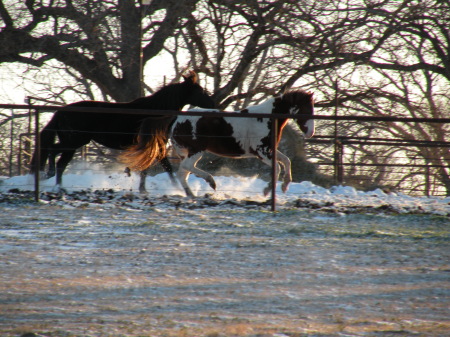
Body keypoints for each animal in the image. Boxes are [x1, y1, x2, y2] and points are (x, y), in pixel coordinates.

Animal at [29, 71, 216, 192]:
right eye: (200, 90)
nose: (213, 104)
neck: (154, 112)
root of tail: (60, 112)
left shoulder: (154, 147)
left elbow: (156, 167)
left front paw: (145, 189)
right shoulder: (156, 145)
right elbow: (163, 167)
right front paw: (174, 189)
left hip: (72, 143)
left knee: (58, 160)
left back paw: (56, 184)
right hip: (74, 142)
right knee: (55, 155)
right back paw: (53, 180)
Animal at [121, 88, 314, 197]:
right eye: (306, 109)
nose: (310, 132)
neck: (266, 118)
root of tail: (176, 118)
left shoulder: (269, 150)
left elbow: (286, 162)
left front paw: (285, 186)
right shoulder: (262, 152)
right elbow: (277, 168)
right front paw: (268, 190)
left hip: (187, 152)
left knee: (182, 172)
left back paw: (191, 194)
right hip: (196, 150)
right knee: (185, 168)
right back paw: (210, 182)